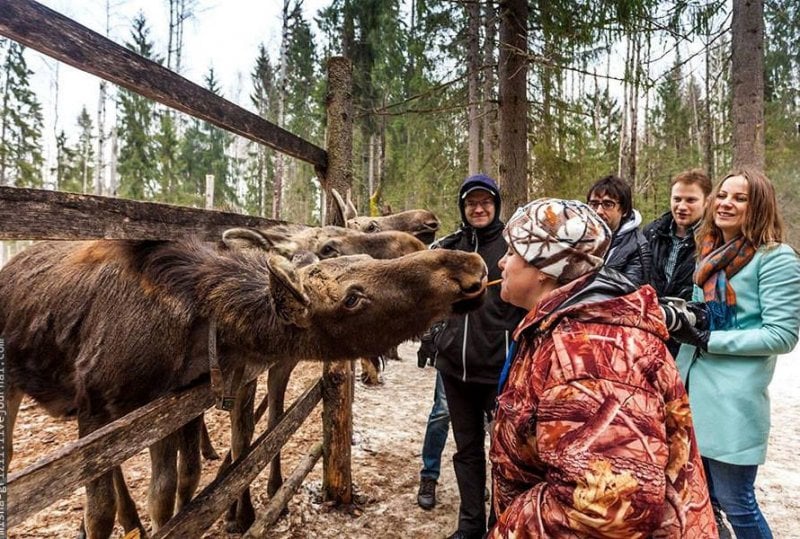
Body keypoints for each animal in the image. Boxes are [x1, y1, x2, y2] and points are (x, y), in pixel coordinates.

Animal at [0, 236, 482, 539]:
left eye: (364, 260)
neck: (201, 329)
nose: (467, 264)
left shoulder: (160, 408)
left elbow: (170, 491)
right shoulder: (97, 404)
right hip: (16, 384)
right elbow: (101, 513)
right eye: (351, 297)